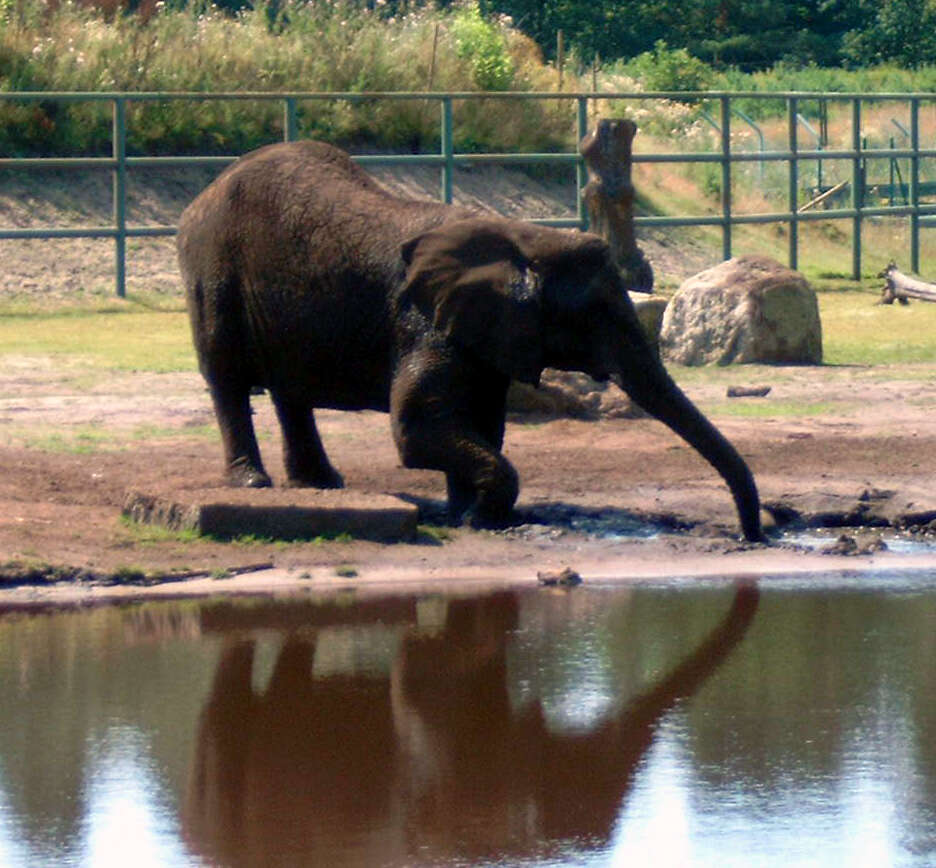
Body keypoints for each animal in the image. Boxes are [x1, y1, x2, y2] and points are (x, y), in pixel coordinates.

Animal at [179, 139, 764, 540]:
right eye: (596, 314)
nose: (749, 536)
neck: (523, 239)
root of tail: (206, 190)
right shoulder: (425, 322)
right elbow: (417, 427)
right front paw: (484, 518)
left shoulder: (487, 335)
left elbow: (479, 423)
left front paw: (464, 513)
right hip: (212, 269)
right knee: (227, 378)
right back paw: (253, 484)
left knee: (290, 390)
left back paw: (324, 485)